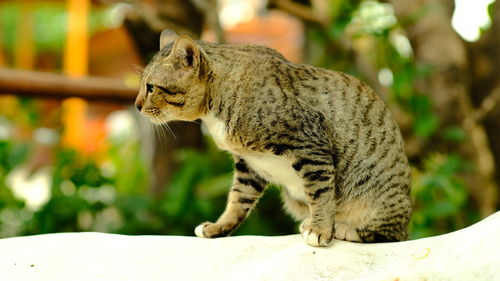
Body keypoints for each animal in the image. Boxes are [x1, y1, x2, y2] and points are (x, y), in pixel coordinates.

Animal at [135, 29, 412, 246]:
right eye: (143, 86)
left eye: (151, 88)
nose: (136, 105)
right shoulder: (249, 165)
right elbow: (237, 200)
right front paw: (218, 227)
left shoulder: (311, 145)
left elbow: (321, 194)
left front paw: (321, 229)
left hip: (378, 200)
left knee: (391, 233)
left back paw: (342, 228)